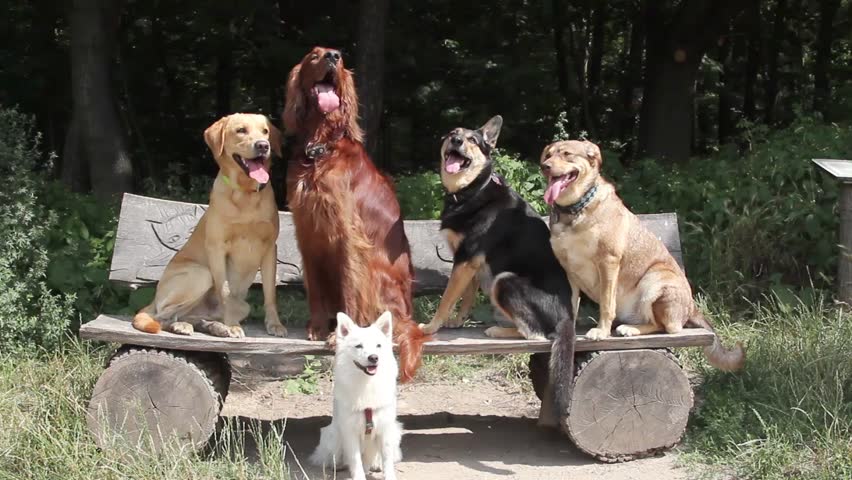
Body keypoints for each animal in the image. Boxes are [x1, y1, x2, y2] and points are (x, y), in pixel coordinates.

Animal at [131, 113, 288, 338]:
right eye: (241, 130)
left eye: (265, 131)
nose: (263, 145)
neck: (245, 195)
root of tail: (154, 298)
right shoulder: (217, 247)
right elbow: (225, 291)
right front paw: (233, 325)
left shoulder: (269, 249)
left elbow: (270, 293)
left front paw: (274, 324)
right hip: (200, 274)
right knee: (163, 315)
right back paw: (184, 326)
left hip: (242, 305)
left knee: (192, 316)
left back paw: (213, 326)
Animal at [310, 312, 402, 480]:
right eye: (359, 346)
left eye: (378, 346)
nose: (374, 357)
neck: (367, 383)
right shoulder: (349, 431)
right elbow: (355, 459)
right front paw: (358, 475)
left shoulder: (385, 428)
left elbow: (387, 458)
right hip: (333, 435)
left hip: (395, 432)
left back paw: (376, 464)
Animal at [422, 115, 580, 424]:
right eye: (452, 133)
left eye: (472, 140)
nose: (456, 140)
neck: (473, 189)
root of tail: (568, 317)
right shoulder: (469, 262)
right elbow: (466, 296)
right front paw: (457, 321)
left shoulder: (465, 259)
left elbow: (446, 298)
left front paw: (432, 326)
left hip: (503, 282)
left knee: (536, 335)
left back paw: (498, 331)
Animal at [544, 139, 744, 372]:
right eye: (548, 155)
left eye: (567, 154)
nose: (545, 166)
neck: (574, 211)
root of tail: (692, 308)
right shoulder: (568, 269)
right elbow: (571, 306)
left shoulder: (608, 262)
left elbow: (606, 304)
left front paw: (601, 331)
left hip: (655, 281)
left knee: (667, 327)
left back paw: (630, 329)